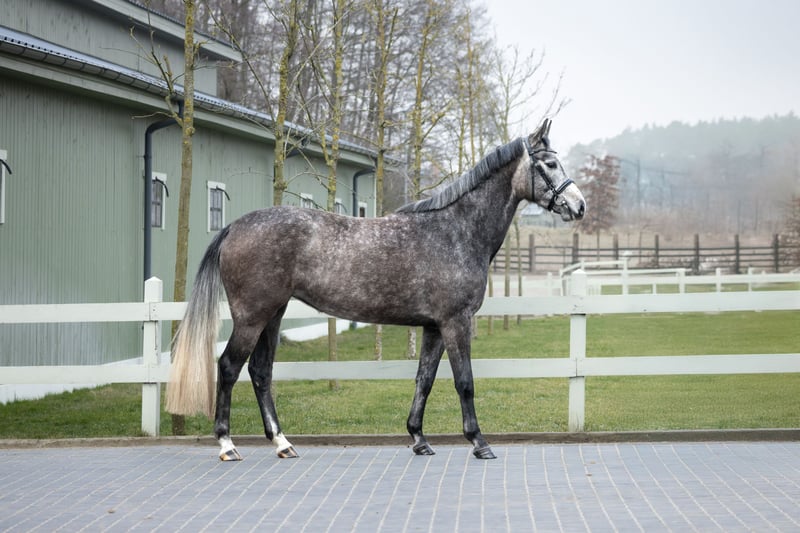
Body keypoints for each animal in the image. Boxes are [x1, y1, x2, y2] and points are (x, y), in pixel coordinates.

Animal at [166, 119, 585, 461]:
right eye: (549, 164)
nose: (579, 206)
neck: (456, 229)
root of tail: (235, 226)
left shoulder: (433, 327)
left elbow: (424, 380)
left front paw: (418, 439)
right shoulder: (455, 322)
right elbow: (464, 382)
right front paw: (479, 442)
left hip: (274, 314)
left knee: (260, 371)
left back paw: (283, 443)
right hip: (252, 316)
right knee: (229, 367)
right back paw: (227, 445)